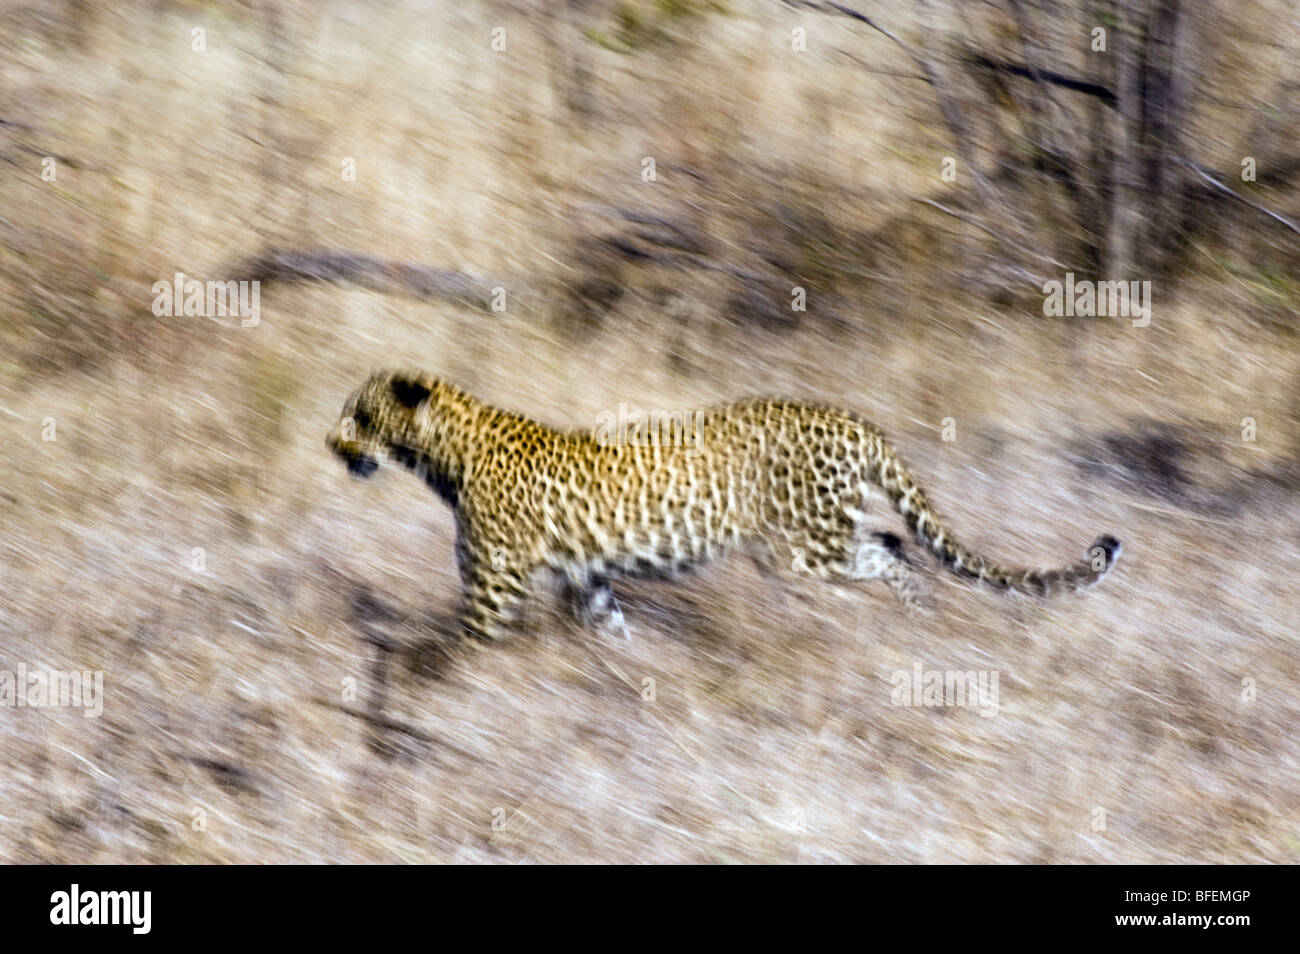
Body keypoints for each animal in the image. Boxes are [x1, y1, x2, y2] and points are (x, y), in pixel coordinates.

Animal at [327, 371, 1118, 642]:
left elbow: (465, 649)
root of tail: (858, 420)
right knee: (897, 547)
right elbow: (612, 629)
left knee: (884, 554)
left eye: (360, 415)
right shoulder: (589, 577)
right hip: (818, 539)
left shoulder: (492, 585)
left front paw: (447, 697)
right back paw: (918, 625)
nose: (333, 445)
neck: (443, 456)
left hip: (800, 548)